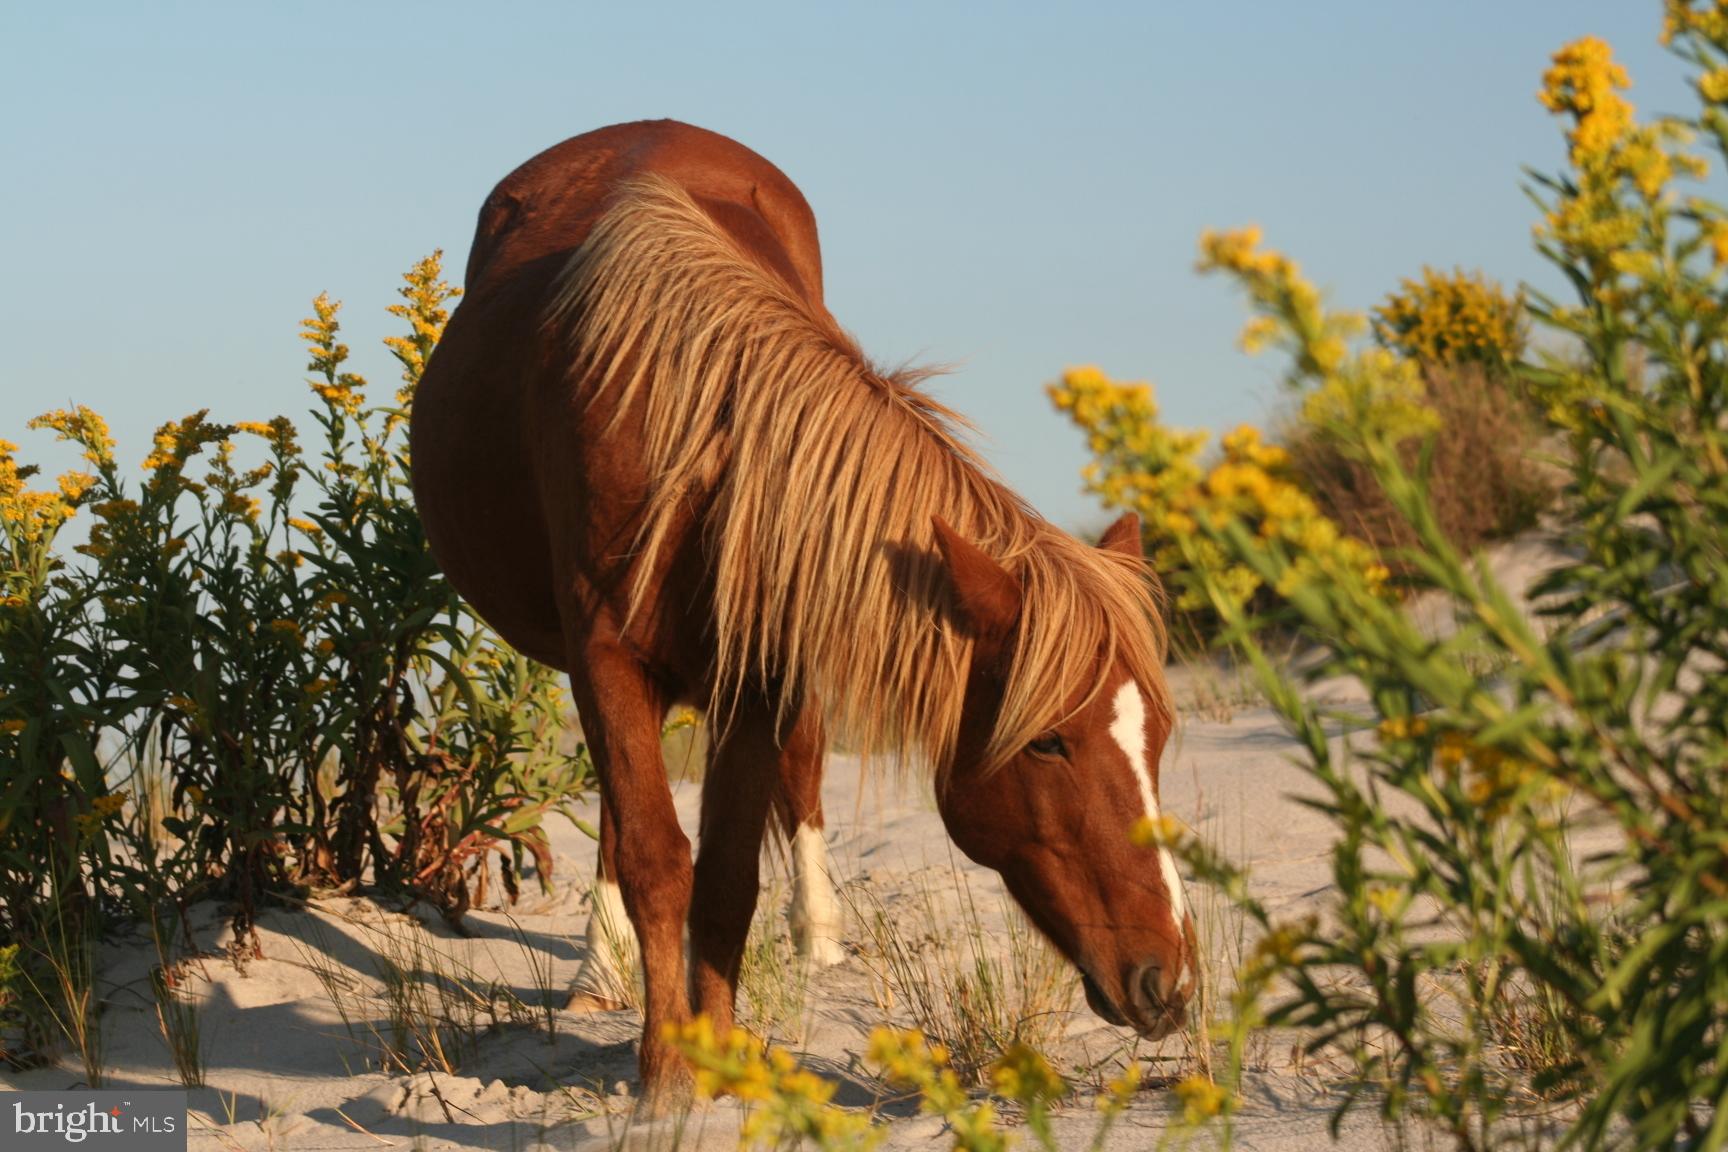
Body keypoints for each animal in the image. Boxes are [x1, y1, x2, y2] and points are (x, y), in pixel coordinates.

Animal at [411, 119, 1197, 1100]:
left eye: (1159, 737)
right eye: (1049, 742)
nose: (1170, 983)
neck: (691, 430)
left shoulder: (763, 673)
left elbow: (726, 874)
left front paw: (720, 1056)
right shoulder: (606, 658)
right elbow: (657, 856)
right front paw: (668, 1069)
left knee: (800, 770)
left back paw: (815, 936)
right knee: (621, 823)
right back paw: (600, 971)